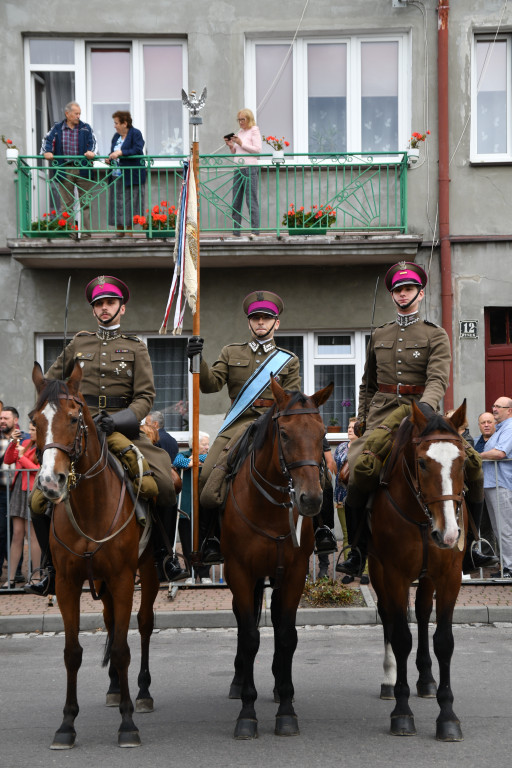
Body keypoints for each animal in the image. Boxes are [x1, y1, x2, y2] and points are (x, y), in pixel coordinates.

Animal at [31, 364, 159, 748]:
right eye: (34, 421)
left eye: (75, 418)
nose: (50, 482)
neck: (90, 504)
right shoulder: (68, 584)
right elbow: (73, 652)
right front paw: (66, 724)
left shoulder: (122, 580)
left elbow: (121, 648)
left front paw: (128, 724)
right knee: (110, 622)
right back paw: (116, 689)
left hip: (147, 573)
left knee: (143, 625)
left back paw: (142, 692)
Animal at [222, 376, 334, 736]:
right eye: (284, 434)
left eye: (323, 434)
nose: (310, 499)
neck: (271, 507)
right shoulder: (240, 573)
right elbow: (249, 636)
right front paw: (247, 713)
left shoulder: (295, 573)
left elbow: (286, 635)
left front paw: (286, 709)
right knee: (245, 623)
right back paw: (239, 679)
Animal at [368, 402, 468, 744]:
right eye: (422, 463)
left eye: (462, 460)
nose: (449, 534)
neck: (425, 518)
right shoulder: (394, 574)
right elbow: (400, 636)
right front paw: (401, 712)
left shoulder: (450, 576)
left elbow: (444, 641)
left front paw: (448, 716)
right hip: (378, 572)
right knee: (388, 617)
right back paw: (388, 681)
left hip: (427, 577)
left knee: (423, 613)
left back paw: (426, 679)